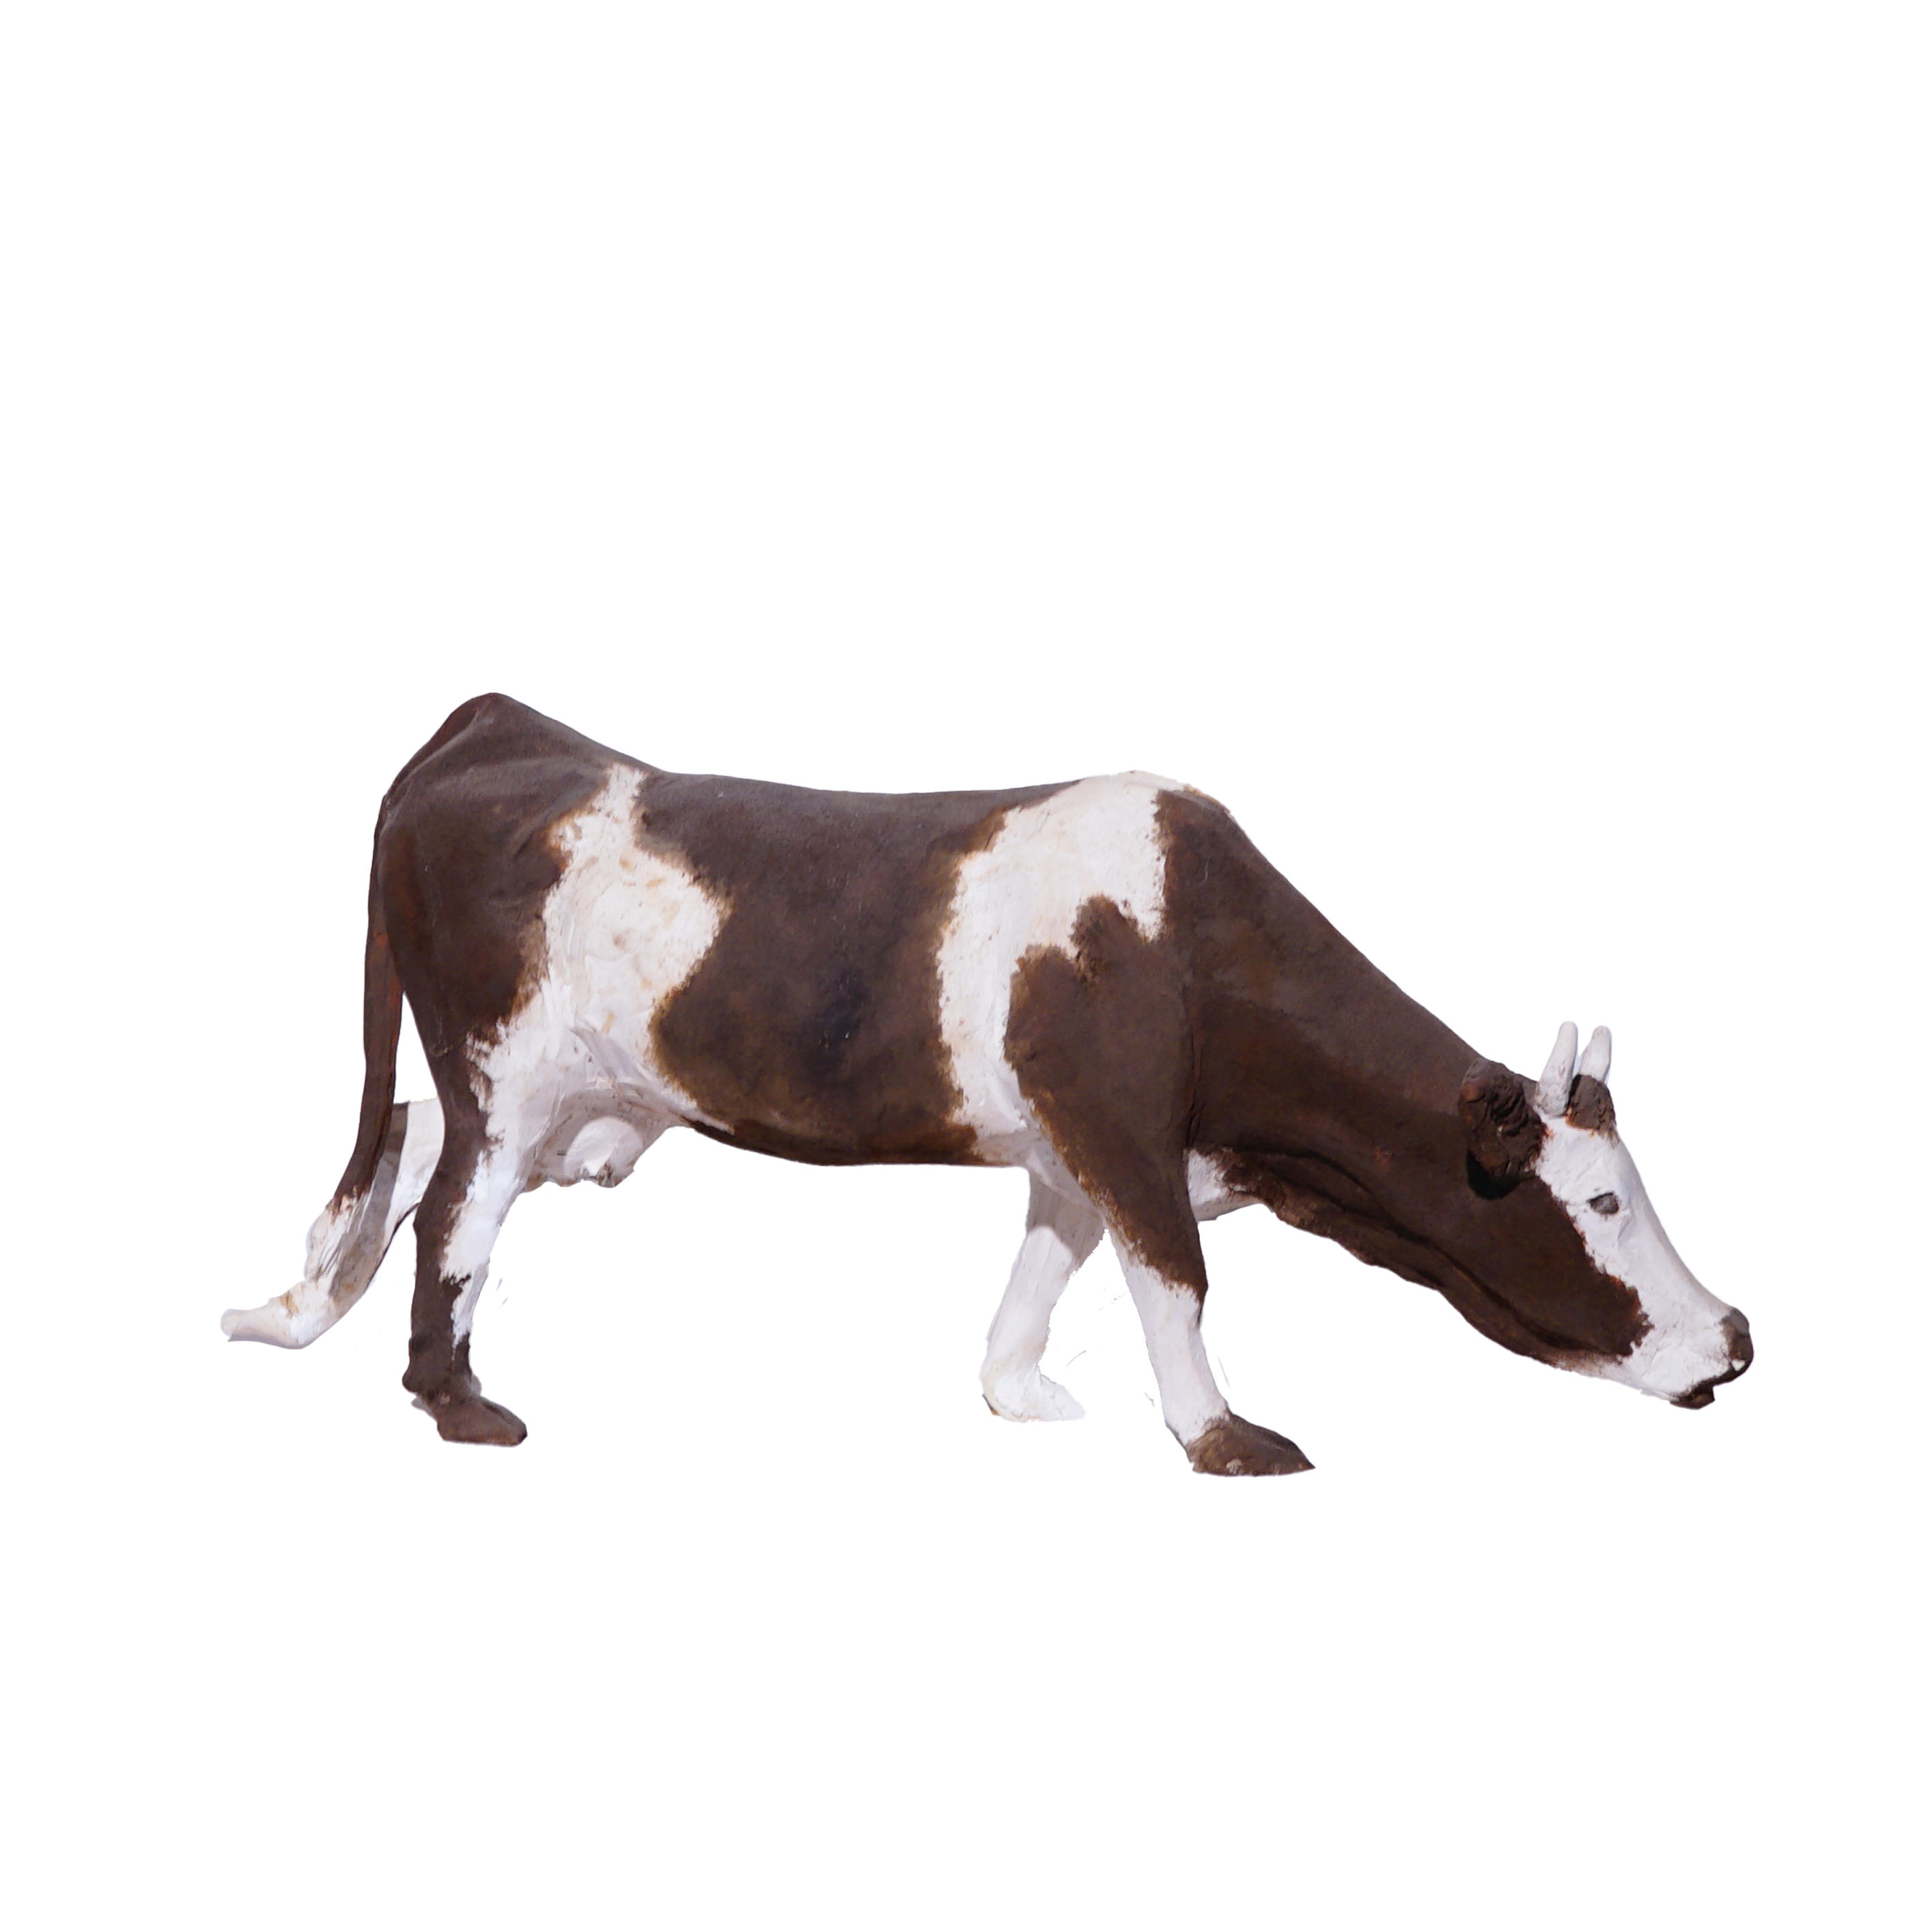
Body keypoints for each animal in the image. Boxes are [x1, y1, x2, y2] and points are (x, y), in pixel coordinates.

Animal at [224, 692, 1753, 1475]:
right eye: (1602, 1203)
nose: (1733, 1337)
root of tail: (489, 727)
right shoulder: (1126, 1129)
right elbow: (1178, 1274)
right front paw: (1224, 1431)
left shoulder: (1077, 1144)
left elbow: (1054, 1264)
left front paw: (1024, 1395)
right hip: (503, 1078)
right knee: (447, 1216)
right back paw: (458, 1405)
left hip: (471, 1082)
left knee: (415, 1193)